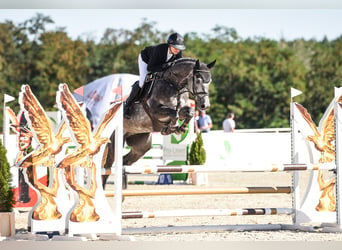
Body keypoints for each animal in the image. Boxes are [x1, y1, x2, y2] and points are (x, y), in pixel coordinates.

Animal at [100, 57, 216, 187]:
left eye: (209, 81)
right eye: (198, 80)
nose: (205, 105)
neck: (174, 86)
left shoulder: (183, 109)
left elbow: (188, 112)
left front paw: (180, 128)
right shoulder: (155, 111)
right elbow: (174, 114)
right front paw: (171, 128)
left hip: (141, 144)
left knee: (125, 160)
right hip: (115, 141)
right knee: (107, 166)